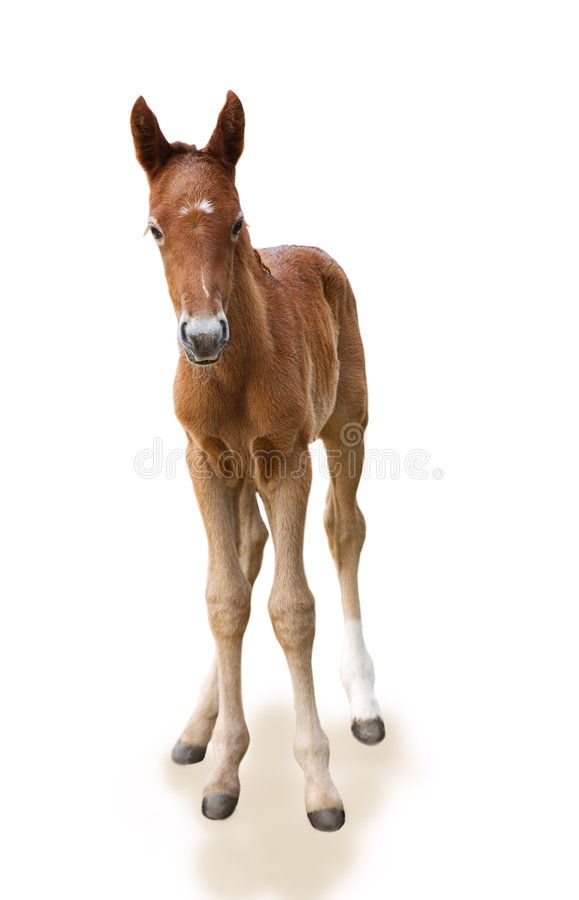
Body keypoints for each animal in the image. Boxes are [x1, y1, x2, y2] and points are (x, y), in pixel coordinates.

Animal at [130, 92, 384, 832]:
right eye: (154, 229)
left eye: (237, 220)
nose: (202, 336)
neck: (234, 372)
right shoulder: (203, 460)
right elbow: (225, 598)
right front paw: (222, 768)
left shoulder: (288, 461)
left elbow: (293, 608)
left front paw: (320, 785)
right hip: (239, 472)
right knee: (247, 549)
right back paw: (198, 727)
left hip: (348, 427)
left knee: (344, 531)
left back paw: (364, 704)